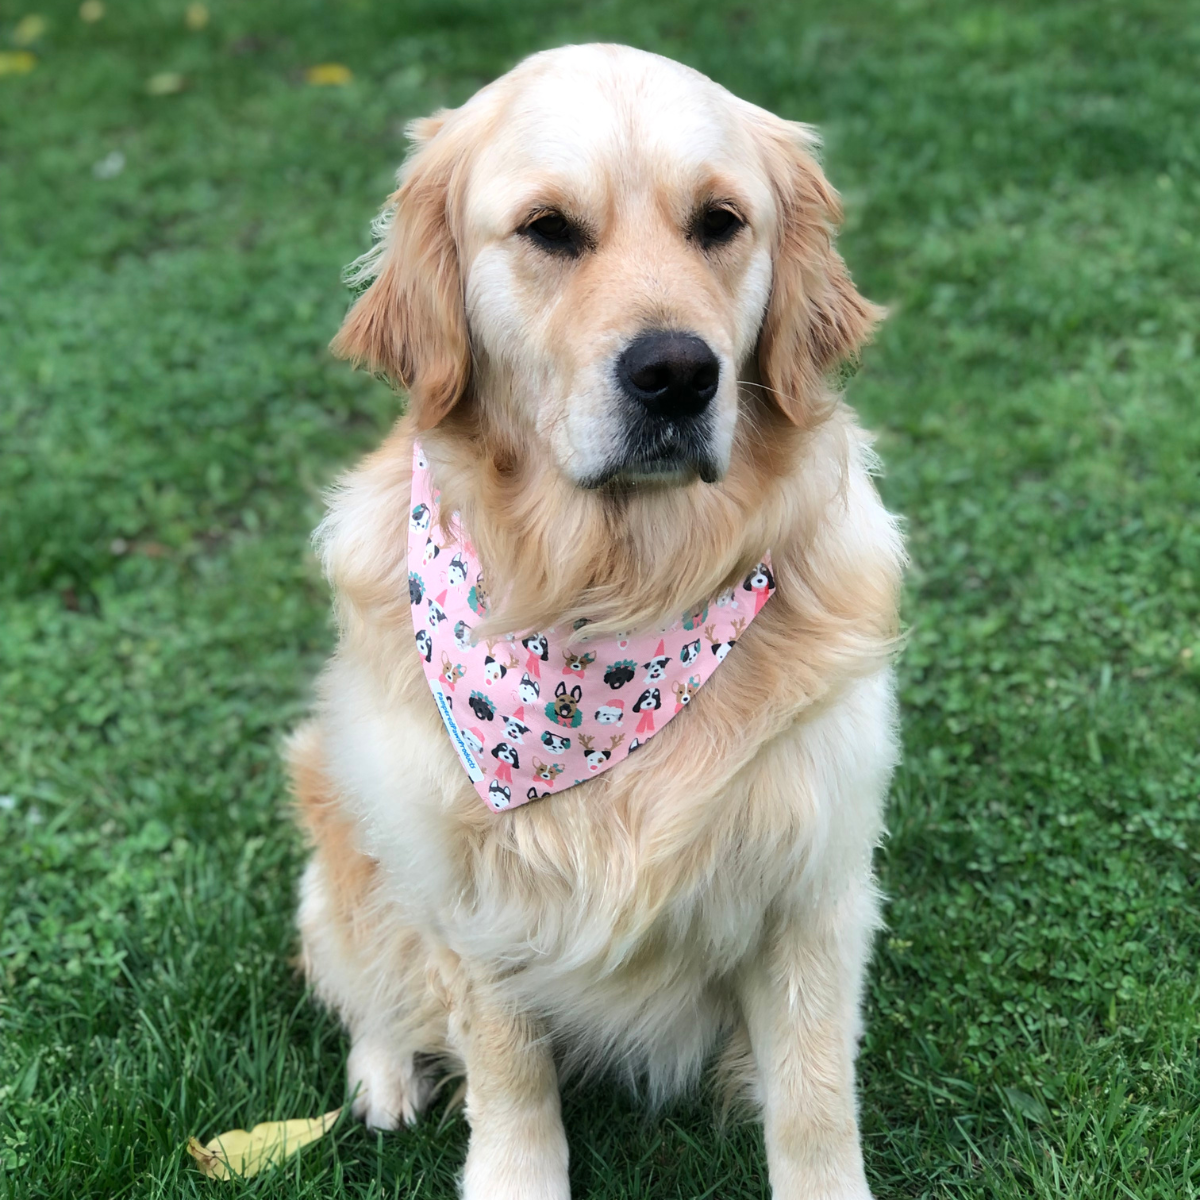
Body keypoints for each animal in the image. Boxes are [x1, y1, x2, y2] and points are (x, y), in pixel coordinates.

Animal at [292, 42, 902, 1195]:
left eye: (720, 221)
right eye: (549, 230)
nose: (676, 374)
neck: (615, 598)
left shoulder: (814, 883)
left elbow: (813, 1101)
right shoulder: (469, 893)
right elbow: (507, 1073)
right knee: (363, 976)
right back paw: (385, 1077)